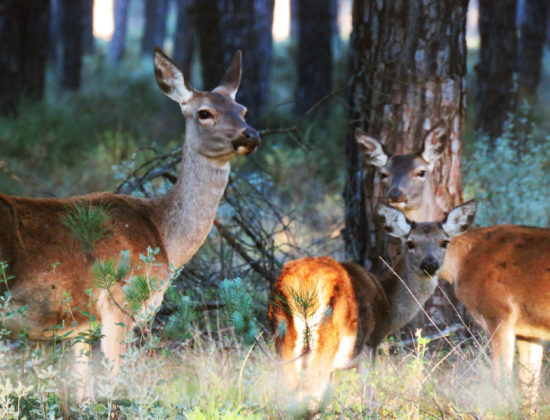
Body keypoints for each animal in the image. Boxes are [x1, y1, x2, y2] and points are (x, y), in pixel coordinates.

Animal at [0, 46, 260, 398]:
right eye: (204, 113)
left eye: (242, 109)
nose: (250, 134)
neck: (163, 235)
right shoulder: (118, 301)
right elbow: (114, 382)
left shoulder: (79, 326)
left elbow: (83, 392)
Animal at [270, 200, 476, 400]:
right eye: (410, 243)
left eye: (444, 242)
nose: (430, 263)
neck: (388, 303)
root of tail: (304, 286)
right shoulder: (372, 342)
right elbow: (368, 393)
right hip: (330, 339)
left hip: (284, 337)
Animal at [358, 130, 548, 406]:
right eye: (384, 173)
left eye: (421, 171)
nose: (396, 193)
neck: (463, 261)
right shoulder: (529, 330)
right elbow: (528, 394)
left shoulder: (499, 313)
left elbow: (500, 385)